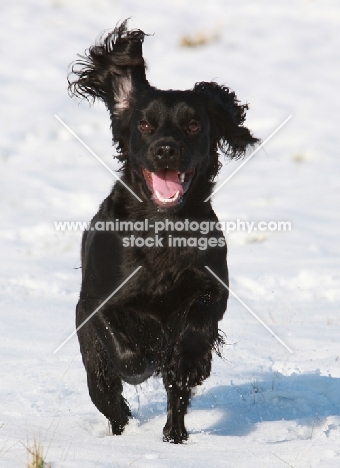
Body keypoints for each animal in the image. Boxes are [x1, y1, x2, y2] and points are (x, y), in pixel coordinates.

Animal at [68, 19, 258, 442]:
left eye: (193, 124)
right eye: (144, 124)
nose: (167, 149)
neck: (163, 227)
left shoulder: (212, 285)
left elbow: (197, 324)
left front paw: (189, 361)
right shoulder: (95, 299)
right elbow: (120, 342)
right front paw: (141, 363)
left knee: (175, 398)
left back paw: (175, 434)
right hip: (92, 362)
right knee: (107, 396)